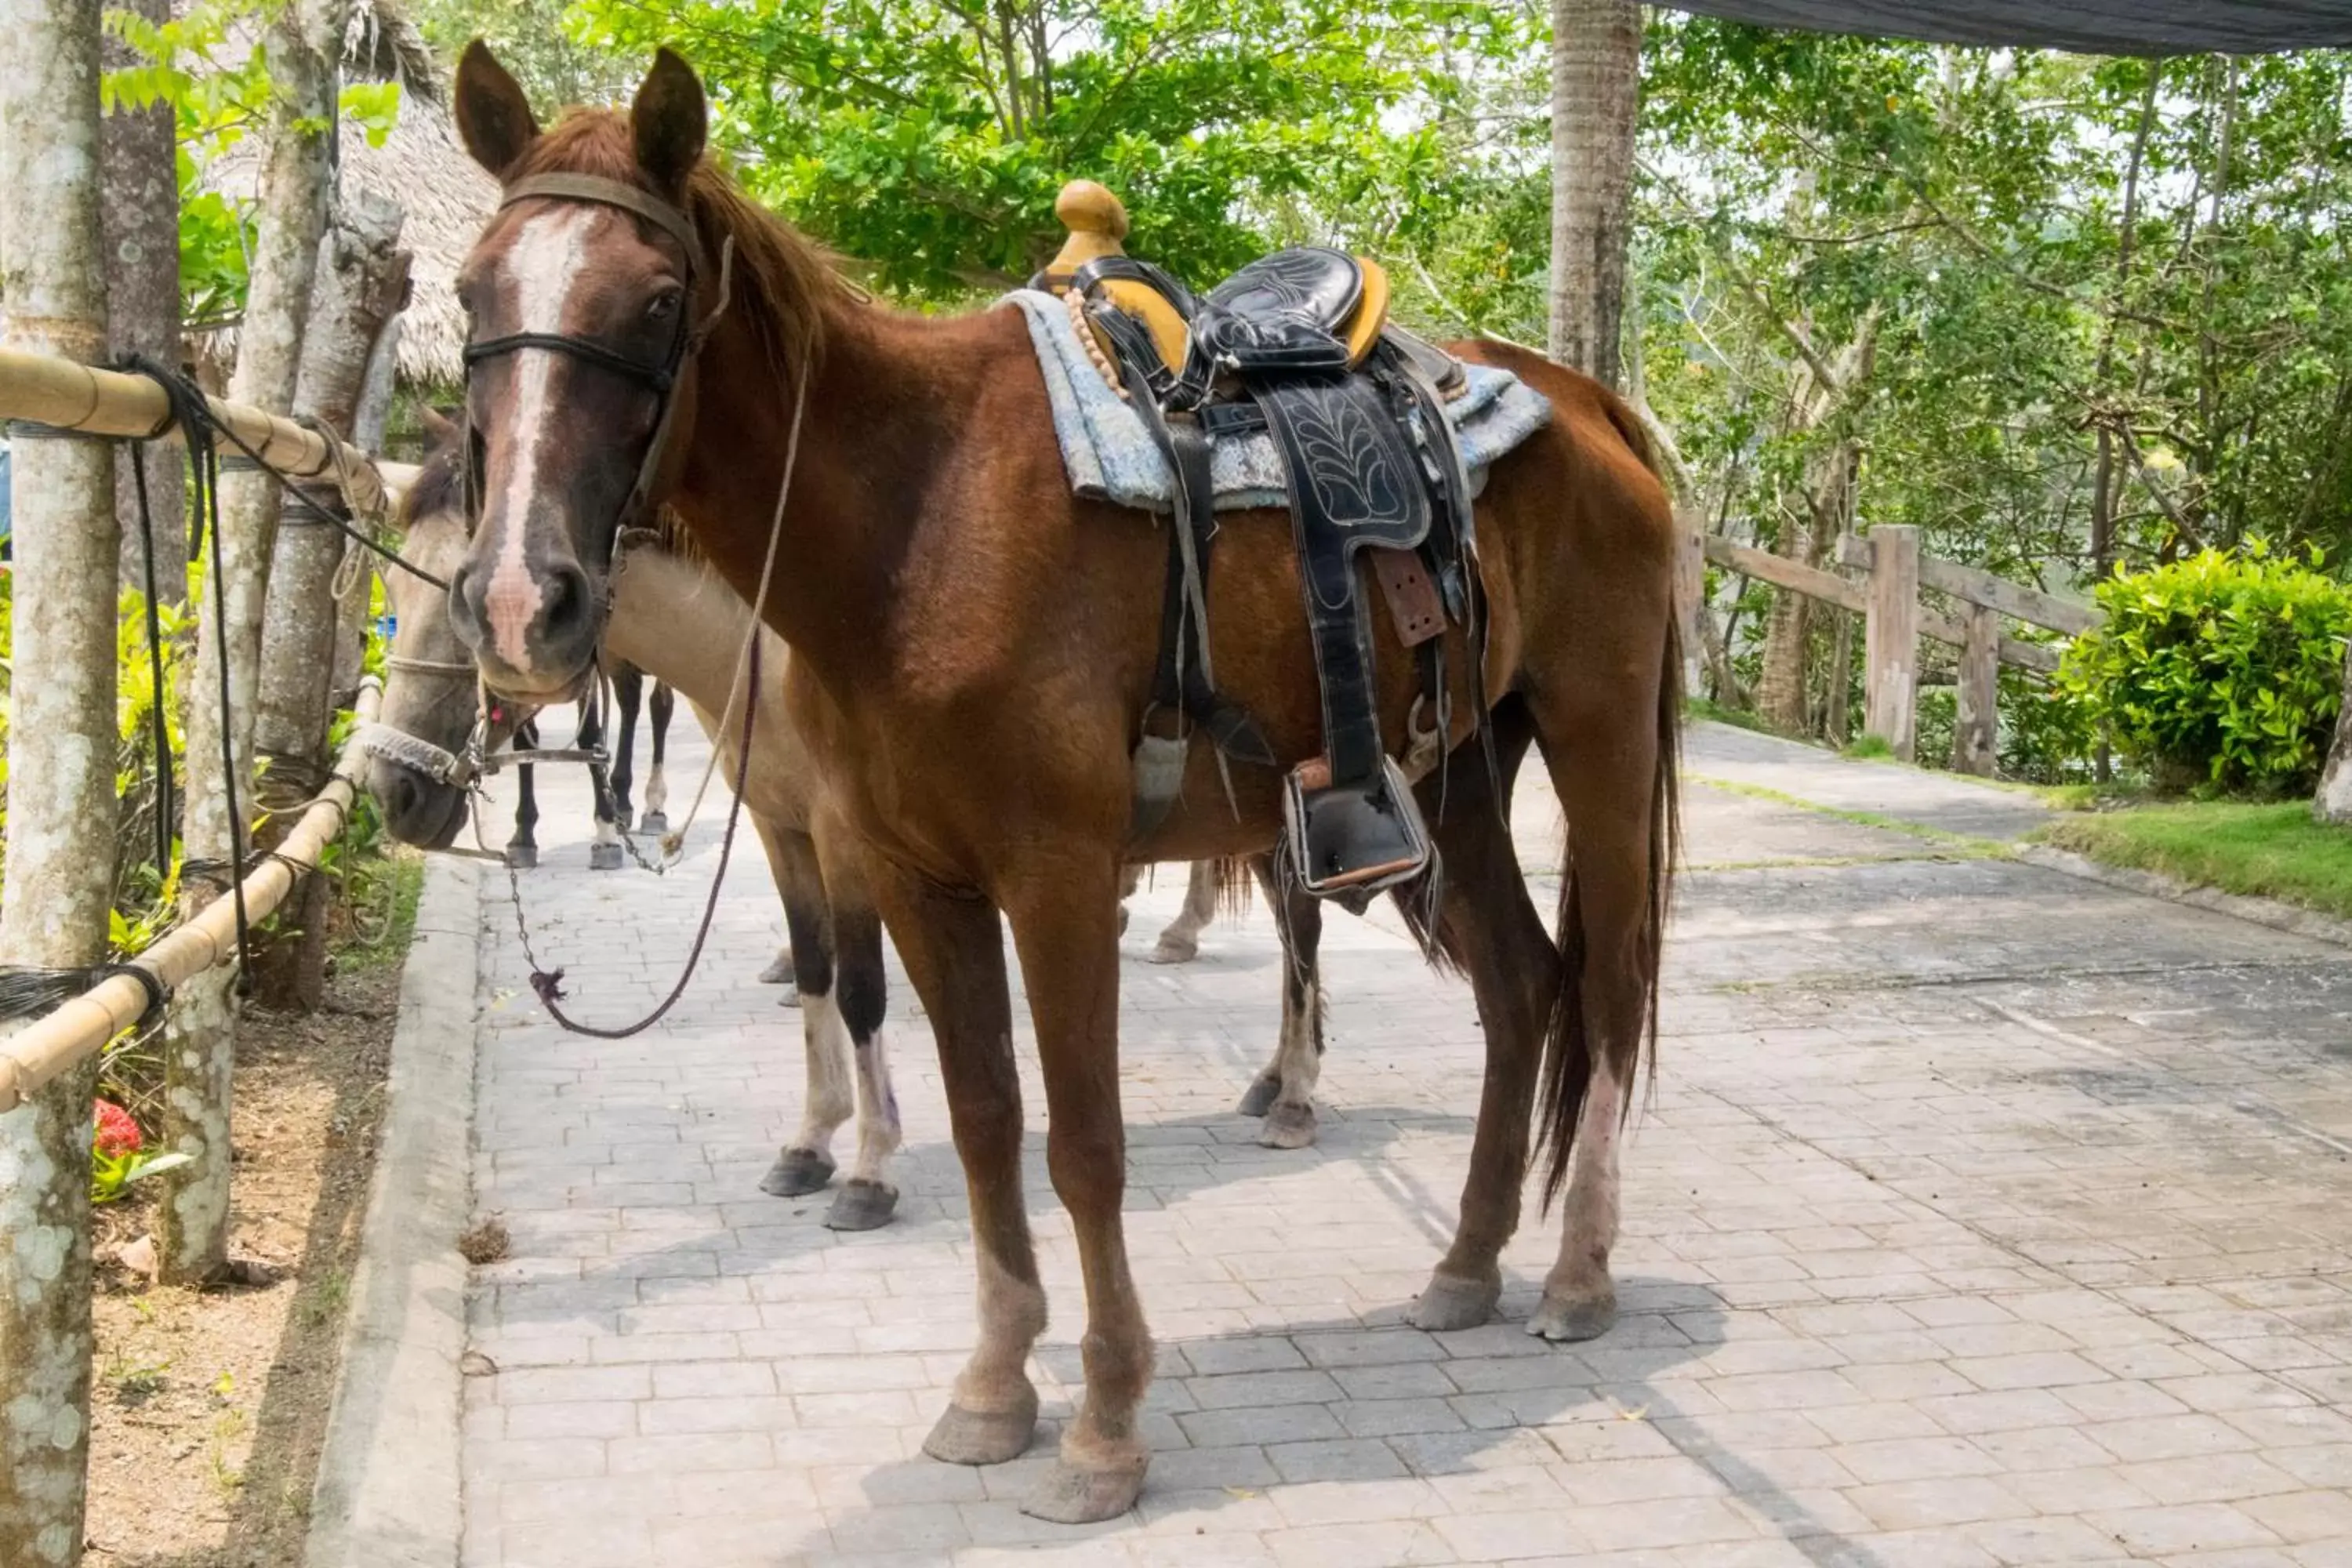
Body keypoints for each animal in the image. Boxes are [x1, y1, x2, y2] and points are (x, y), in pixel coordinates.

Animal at [442, 45, 1684, 1523]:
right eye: (470, 293)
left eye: (658, 298)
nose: (520, 600)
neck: (917, 520)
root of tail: (1586, 400)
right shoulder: (918, 881)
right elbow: (985, 1125)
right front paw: (993, 1389)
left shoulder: (1059, 879)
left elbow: (1085, 1143)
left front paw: (1103, 1427)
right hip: (1455, 775)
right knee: (1521, 989)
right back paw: (1467, 1262)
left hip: (1595, 734)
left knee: (1604, 993)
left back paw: (1578, 1271)